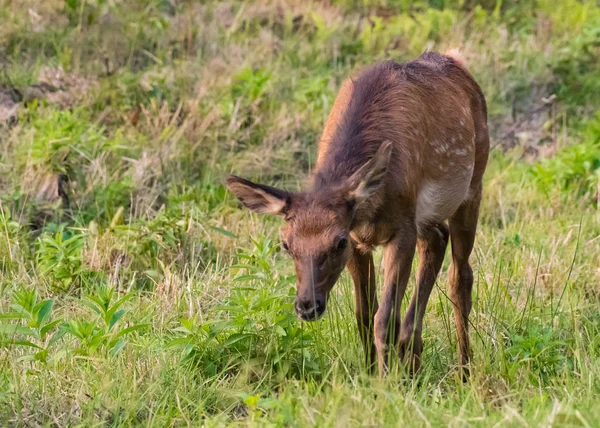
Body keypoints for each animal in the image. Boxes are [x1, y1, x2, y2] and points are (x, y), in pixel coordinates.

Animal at [226, 51, 488, 376]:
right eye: (285, 244)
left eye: (336, 243)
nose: (307, 306)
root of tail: (455, 60)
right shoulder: (360, 239)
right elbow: (364, 313)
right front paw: (369, 374)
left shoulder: (401, 229)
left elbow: (384, 318)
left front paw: (385, 380)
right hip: (428, 217)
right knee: (438, 241)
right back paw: (413, 362)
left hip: (472, 186)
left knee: (460, 278)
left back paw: (464, 371)